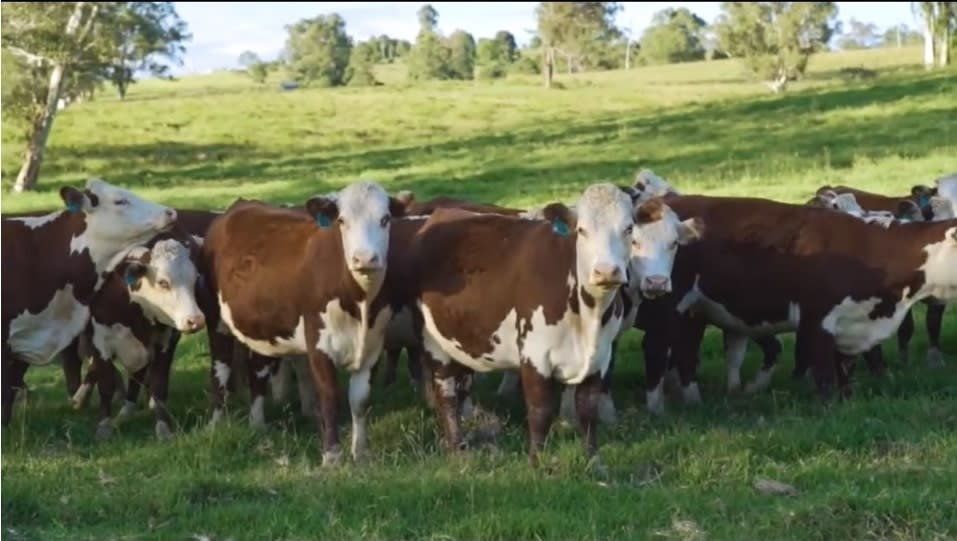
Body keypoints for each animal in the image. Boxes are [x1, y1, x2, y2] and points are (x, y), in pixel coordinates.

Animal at [198, 180, 410, 464]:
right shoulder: (318, 343)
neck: (359, 304)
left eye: (385, 219)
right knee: (219, 370)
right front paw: (332, 457)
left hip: (264, 325)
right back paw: (216, 424)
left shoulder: (373, 345)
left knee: (258, 372)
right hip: (217, 320)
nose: (364, 258)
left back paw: (257, 424)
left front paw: (361, 453)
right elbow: (329, 396)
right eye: (342, 221)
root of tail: (238, 206)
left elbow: (360, 400)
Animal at [402, 182, 696, 464]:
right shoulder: (534, 355)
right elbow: (540, 409)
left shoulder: (600, 356)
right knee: (447, 393)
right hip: (433, 343)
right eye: (582, 230)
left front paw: (593, 460)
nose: (606, 271)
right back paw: (456, 447)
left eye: (628, 229)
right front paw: (538, 462)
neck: (587, 317)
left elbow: (588, 410)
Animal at [656, 193, 956, 400]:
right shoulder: (817, 318)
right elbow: (824, 375)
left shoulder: (851, 323)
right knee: (680, 353)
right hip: (676, 307)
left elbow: (844, 372)